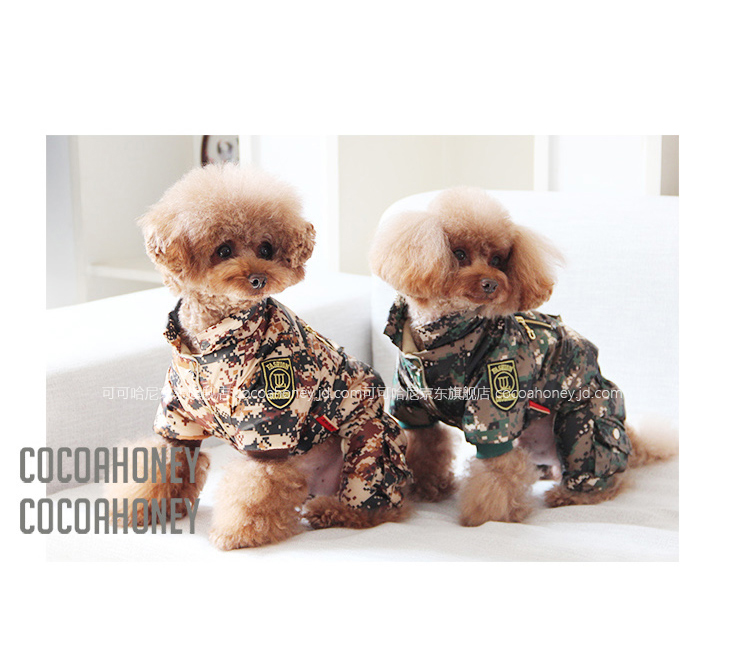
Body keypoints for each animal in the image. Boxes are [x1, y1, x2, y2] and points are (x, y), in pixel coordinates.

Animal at [107, 164, 410, 549]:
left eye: (266, 248)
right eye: (223, 249)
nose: (257, 278)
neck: (213, 346)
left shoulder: (270, 420)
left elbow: (256, 487)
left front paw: (234, 533)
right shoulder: (177, 419)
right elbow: (165, 462)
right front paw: (137, 510)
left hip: (365, 436)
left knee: (375, 503)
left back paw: (332, 512)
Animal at [370, 186, 677, 526]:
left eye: (497, 259)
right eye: (459, 254)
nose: (492, 283)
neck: (444, 338)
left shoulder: (495, 405)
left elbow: (497, 473)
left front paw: (486, 516)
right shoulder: (412, 408)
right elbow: (424, 449)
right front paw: (427, 488)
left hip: (583, 419)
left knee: (603, 470)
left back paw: (571, 495)